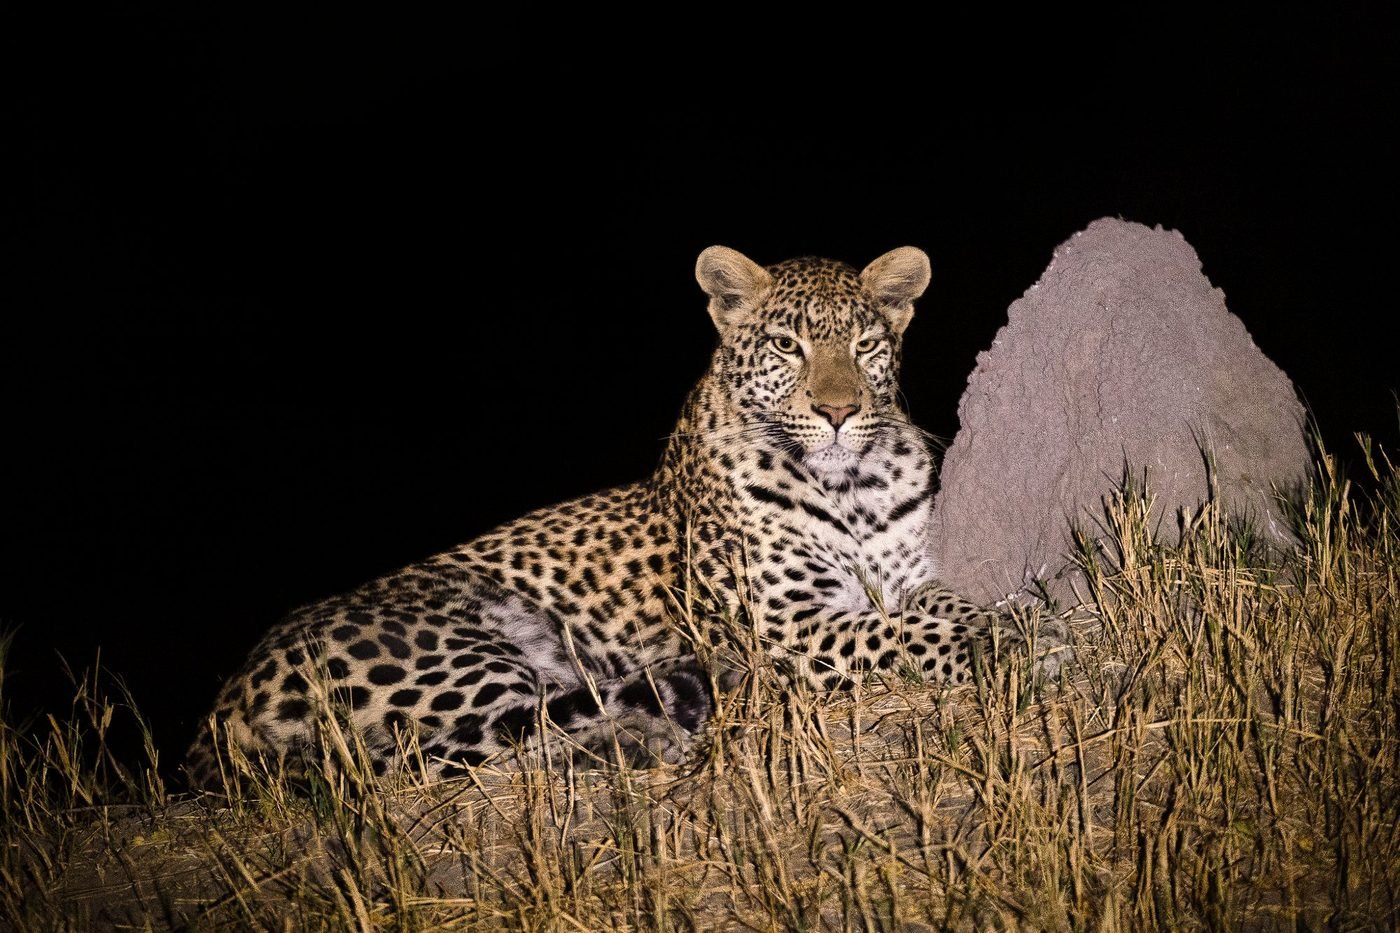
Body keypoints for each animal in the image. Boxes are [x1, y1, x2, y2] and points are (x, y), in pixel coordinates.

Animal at [184, 245, 1068, 788]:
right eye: (786, 345)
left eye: (865, 343)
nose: (840, 410)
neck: (853, 483)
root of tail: (218, 710)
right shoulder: (783, 628)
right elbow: (896, 634)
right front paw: (1000, 641)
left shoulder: (908, 574)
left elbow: (932, 606)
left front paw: (1009, 617)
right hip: (453, 655)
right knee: (455, 754)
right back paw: (641, 740)